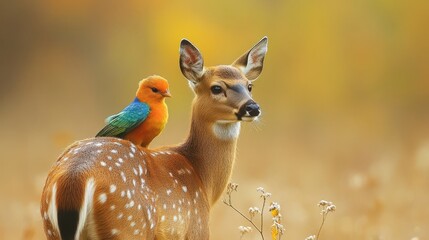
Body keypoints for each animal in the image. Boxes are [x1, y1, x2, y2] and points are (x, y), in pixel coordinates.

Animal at [40, 36, 268, 239]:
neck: (202, 178)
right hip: (127, 226)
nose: (253, 107)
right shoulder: (197, 229)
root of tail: (75, 179)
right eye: (217, 88)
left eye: (249, 86)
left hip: (51, 227)